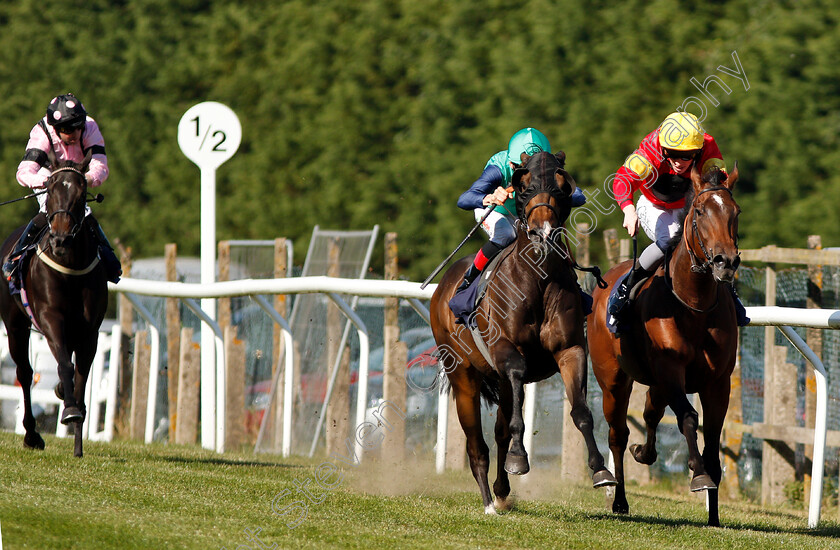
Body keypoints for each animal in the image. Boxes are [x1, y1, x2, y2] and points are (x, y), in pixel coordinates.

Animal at [0, 149, 108, 460]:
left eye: (82, 193)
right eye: (49, 188)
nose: (60, 239)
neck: (69, 266)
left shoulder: (89, 331)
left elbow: (81, 378)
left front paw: (78, 440)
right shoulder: (50, 319)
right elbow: (64, 365)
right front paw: (70, 409)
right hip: (15, 325)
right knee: (24, 374)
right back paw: (31, 434)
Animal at [434, 152, 616, 516]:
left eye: (562, 186)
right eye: (524, 187)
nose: (542, 232)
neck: (537, 280)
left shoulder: (571, 349)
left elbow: (581, 412)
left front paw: (600, 469)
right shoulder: (507, 350)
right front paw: (520, 458)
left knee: (500, 431)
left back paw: (501, 491)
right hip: (463, 377)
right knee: (477, 443)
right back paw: (489, 502)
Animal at [588, 163, 740, 528]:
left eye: (736, 212)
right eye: (700, 211)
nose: (725, 262)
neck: (694, 304)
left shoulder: (718, 382)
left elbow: (712, 439)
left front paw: (714, 515)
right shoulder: (671, 372)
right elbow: (688, 418)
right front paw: (698, 476)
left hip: (653, 383)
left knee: (649, 412)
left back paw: (644, 453)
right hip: (613, 381)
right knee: (618, 434)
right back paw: (620, 500)